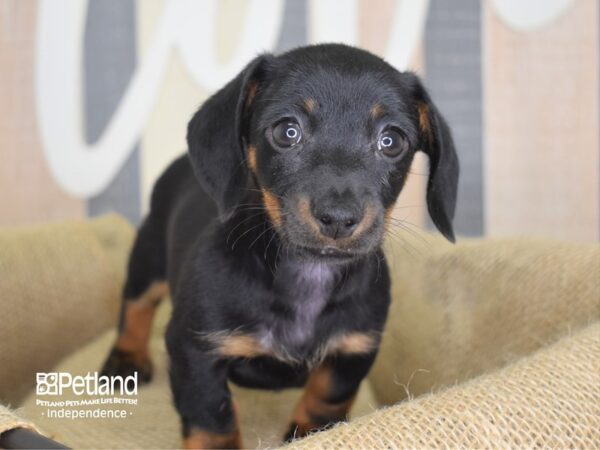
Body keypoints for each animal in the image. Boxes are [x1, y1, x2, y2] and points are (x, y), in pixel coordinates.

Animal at [102, 43, 460, 450]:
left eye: (392, 140)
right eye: (287, 131)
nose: (339, 217)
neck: (307, 274)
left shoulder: (353, 351)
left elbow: (326, 398)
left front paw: (311, 435)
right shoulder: (194, 349)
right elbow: (212, 417)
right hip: (148, 257)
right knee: (135, 304)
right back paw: (126, 358)